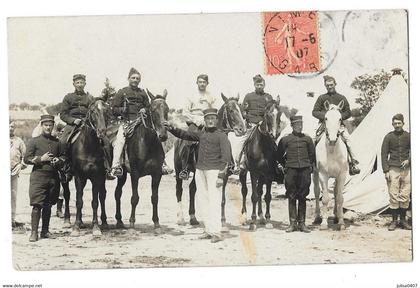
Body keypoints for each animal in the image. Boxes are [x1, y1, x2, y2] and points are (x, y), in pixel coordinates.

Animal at [69, 99, 109, 236]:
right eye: (93, 111)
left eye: (106, 111)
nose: (102, 131)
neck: (88, 146)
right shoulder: (79, 177)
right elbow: (79, 201)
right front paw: (76, 227)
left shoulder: (97, 177)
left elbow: (95, 202)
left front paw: (96, 227)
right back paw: (79, 222)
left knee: (102, 196)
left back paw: (105, 222)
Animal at [115, 88, 169, 234]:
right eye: (153, 110)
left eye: (167, 109)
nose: (163, 135)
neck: (147, 142)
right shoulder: (135, 173)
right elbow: (135, 198)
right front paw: (132, 224)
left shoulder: (157, 174)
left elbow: (154, 198)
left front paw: (157, 224)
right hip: (122, 174)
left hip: (123, 176)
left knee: (117, 193)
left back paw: (119, 221)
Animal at [173, 93, 246, 228]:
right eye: (231, 110)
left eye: (241, 109)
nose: (242, 130)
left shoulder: (224, 176)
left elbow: (222, 199)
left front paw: (222, 220)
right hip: (178, 170)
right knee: (179, 191)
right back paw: (181, 219)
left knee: (192, 189)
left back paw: (193, 218)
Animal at [240, 98, 282, 231]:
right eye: (267, 114)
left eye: (279, 114)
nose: (274, 134)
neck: (262, 145)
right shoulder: (254, 172)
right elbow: (253, 196)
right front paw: (253, 221)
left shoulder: (268, 174)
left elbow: (267, 196)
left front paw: (267, 219)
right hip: (243, 172)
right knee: (244, 191)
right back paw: (244, 216)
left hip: (262, 175)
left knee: (259, 191)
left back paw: (261, 217)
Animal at [312, 100, 348, 231]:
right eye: (326, 118)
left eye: (340, 118)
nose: (332, 139)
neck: (332, 150)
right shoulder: (323, 175)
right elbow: (325, 198)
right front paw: (324, 223)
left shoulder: (342, 175)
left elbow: (340, 198)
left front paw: (341, 222)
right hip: (315, 174)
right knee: (317, 193)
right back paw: (317, 217)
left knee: (336, 194)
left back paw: (336, 217)